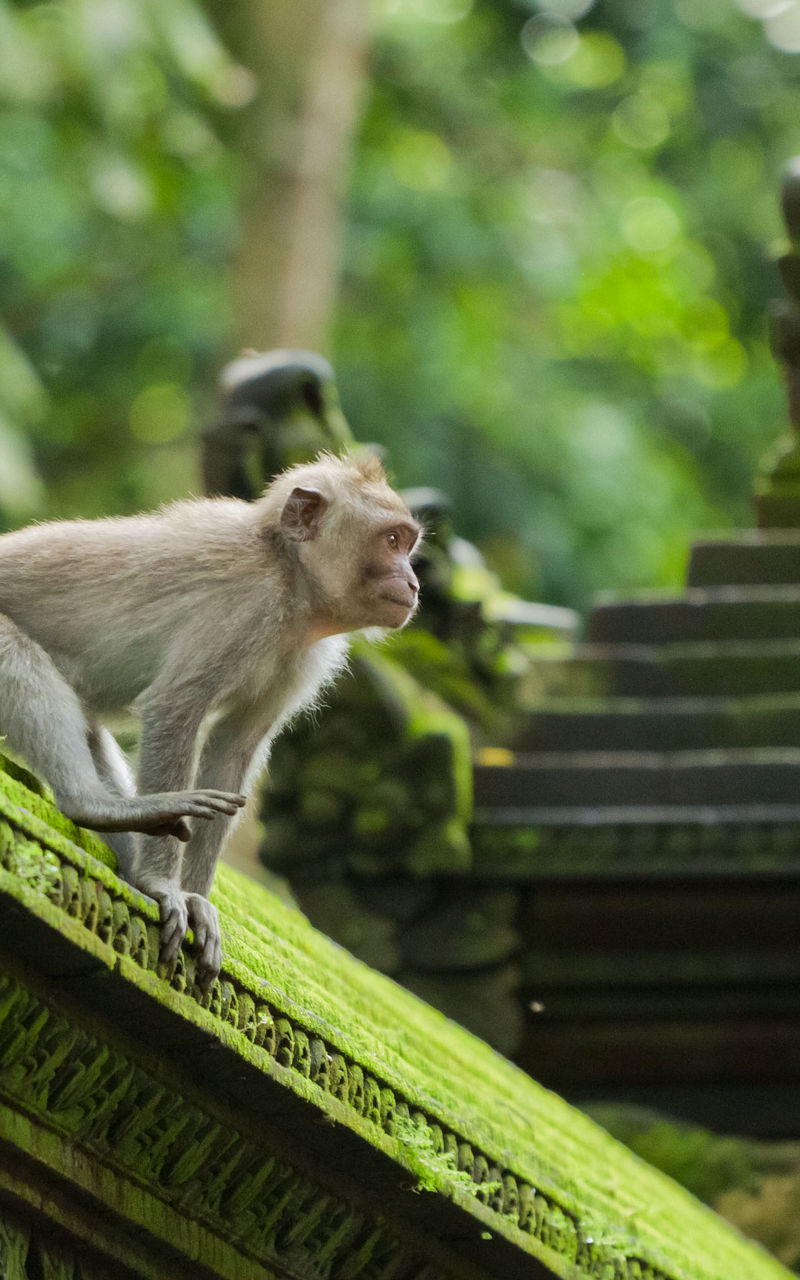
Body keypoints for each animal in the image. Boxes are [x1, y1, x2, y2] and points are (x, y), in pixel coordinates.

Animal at [0, 451, 421, 985]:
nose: (413, 582)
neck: (290, 576)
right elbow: (176, 705)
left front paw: (195, 898)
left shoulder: (300, 656)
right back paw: (93, 807)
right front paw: (162, 884)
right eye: (391, 541)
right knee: (14, 652)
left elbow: (234, 746)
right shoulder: (248, 606)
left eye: (407, 543)